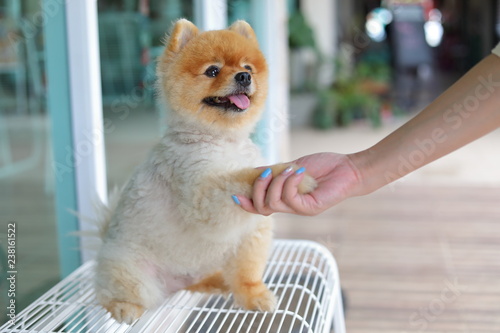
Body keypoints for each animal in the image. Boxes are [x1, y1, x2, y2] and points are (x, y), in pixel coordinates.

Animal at [94, 17, 316, 322]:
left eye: (248, 68)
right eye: (212, 70)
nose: (244, 77)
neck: (222, 140)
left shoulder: (251, 229)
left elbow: (248, 271)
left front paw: (254, 296)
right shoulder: (202, 195)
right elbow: (242, 177)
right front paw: (286, 173)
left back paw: (214, 282)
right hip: (133, 272)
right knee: (113, 292)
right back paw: (123, 306)